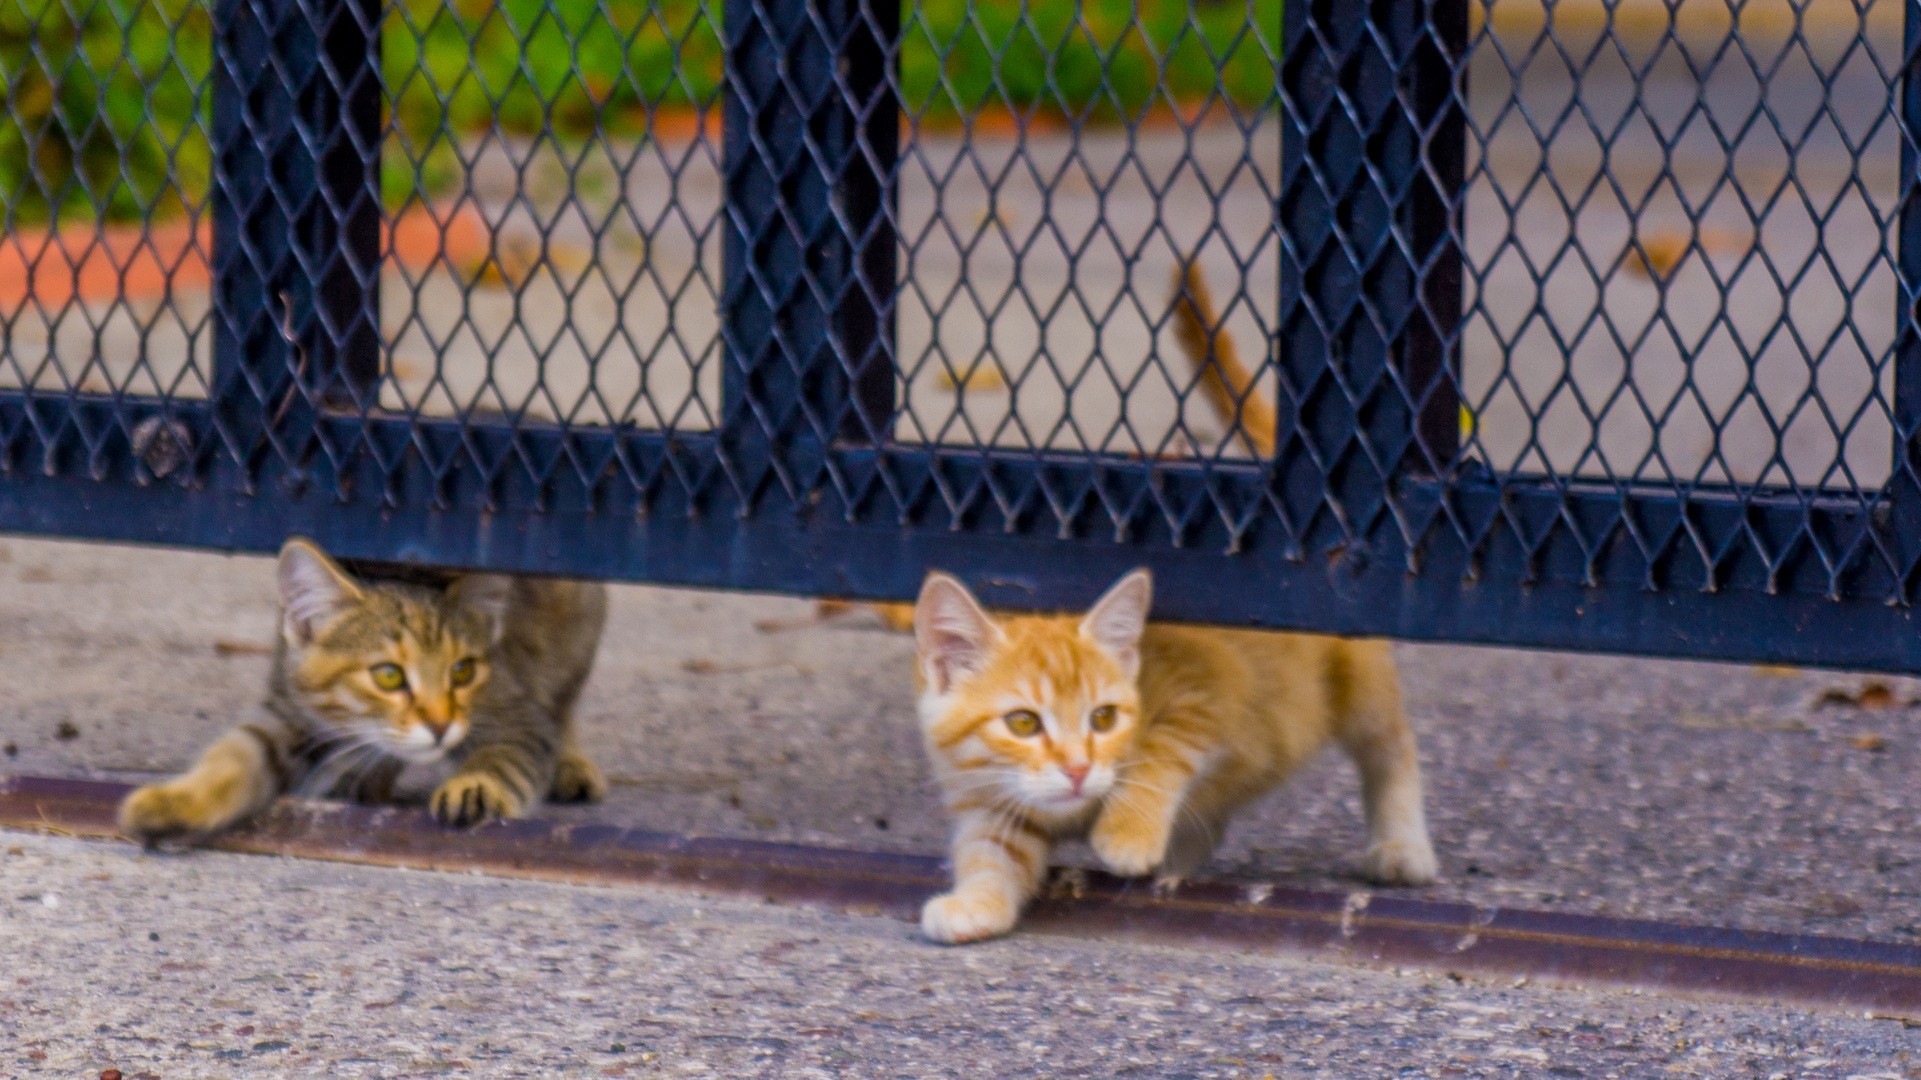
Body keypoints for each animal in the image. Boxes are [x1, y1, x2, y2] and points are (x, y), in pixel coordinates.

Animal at [121, 534, 599, 837]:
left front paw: (475, 788)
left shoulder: (517, 716)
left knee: (565, 704)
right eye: (388, 675)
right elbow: (231, 758)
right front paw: (176, 801)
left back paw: (572, 764)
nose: (441, 725)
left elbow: (506, 757)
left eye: (462, 671)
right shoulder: (286, 710)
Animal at [918, 568, 1444, 937]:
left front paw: (1129, 831)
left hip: (1361, 674)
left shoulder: (1210, 689)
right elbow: (991, 852)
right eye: (1023, 723)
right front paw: (977, 900)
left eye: (1103, 718)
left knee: (1392, 747)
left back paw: (1401, 846)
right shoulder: (990, 801)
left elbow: (1161, 752)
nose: (1078, 769)